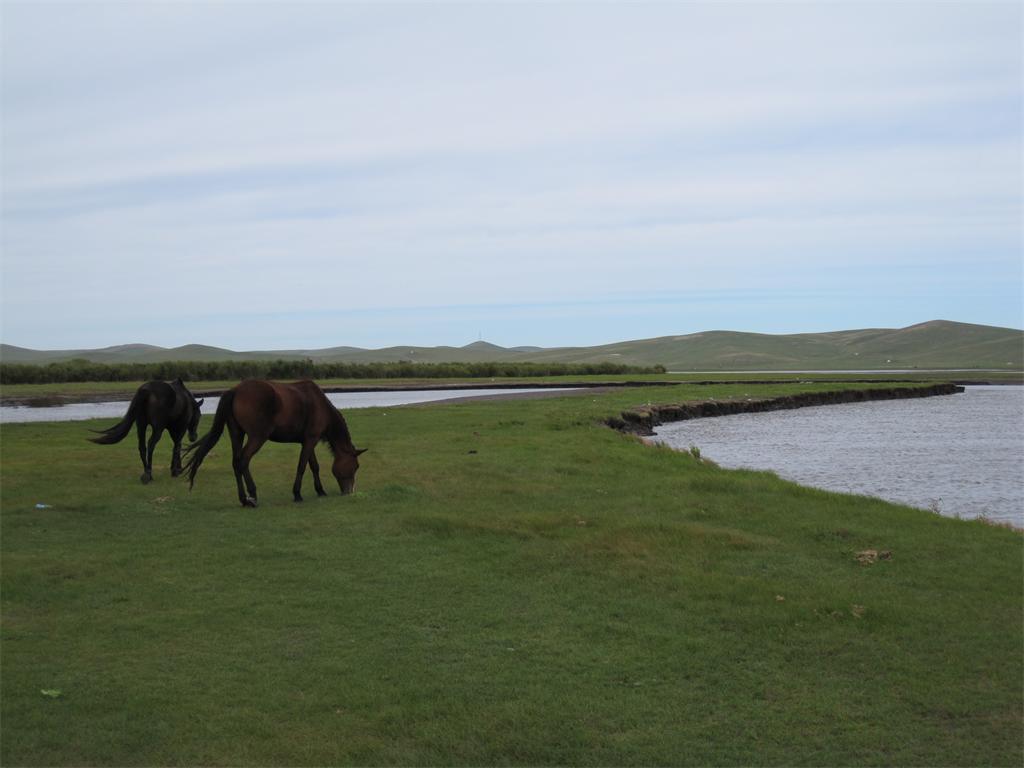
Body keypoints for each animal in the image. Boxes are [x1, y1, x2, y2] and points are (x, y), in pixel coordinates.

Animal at [185, 380, 368, 512]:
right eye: (355, 466)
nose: (350, 491)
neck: (320, 405)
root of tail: (235, 390)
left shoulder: (308, 441)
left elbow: (314, 466)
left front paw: (320, 491)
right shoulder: (311, 439)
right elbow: (302, 466)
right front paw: (297, 494)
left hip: (237, 433)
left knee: (236, 462)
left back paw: (243, 499)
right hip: (257, 437)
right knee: (243, 460)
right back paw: (252, 495)